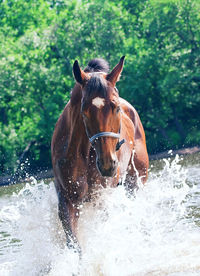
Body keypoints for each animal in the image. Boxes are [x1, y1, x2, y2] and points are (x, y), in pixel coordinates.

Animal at [51, 56, 148, 252]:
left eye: (116, 107)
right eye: (84, 110)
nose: (107, 164)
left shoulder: (100, 199)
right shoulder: (67, 201)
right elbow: (74, 244)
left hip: (136, 181)